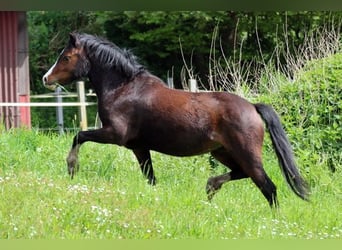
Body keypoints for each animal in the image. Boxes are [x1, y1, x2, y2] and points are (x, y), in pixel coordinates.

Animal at [41, 32, 308, 207]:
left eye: (65, 58)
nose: (46, 78)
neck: (124, 88)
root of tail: (252, 107)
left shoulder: (115, 134)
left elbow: (80, 135)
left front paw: (72, 167)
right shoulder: (139, 147)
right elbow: (151, 179)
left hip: (246, 153)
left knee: (268, 187)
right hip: (221, 151)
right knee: (240, 174)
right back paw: (211, 187)